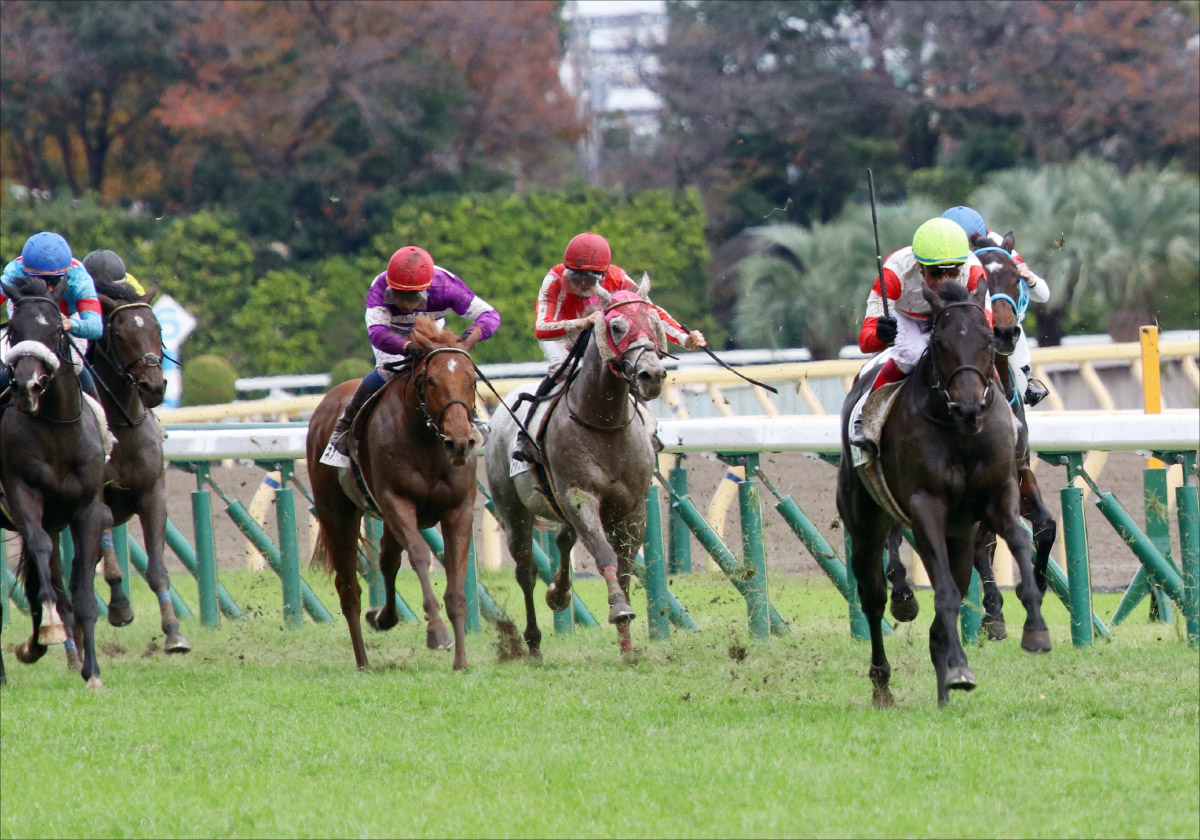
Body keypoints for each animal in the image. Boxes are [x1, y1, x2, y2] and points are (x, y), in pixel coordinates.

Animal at [0, 276, 111, 691]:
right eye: (14, 332)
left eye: (54, 331)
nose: (27, 386)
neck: (57, 434)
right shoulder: (21, 494)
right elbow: (40, 551)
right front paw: (48, 626)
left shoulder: (86, 509)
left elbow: (82, 592)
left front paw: (92, 672)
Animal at [87, 278, 190, 652]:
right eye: (118, 334)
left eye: (158, 328)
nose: (154, 386)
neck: (123, 426)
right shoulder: (94, 497)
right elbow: (108, 558)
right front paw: (119, 607)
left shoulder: (152, 495)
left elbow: (157, 570)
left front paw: (174, 632)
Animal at [304, 314, 482, 667]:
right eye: (431, 381)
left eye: (472, 380)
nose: (459, 442)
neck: (428, 442)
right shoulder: (397, 501)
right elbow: (420, 556)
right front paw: (437, 632)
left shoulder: (459, 510)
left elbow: (455, 582)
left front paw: (461, 660)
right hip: (337, 515)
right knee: (349, 588)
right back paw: (362, 661)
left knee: (387, 561)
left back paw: (384, 618)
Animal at [487, 282, 676, 657]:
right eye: (616, 326)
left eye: (654, 320)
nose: (652, 375)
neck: (605, 422)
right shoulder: (579, 495)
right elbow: (604, 553)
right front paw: (620, 612)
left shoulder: (632, 508)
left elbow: (625, 566)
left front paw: (626, 643)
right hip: (513, 510)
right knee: (526, 571)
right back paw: (533, 642)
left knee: (563, 538)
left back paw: (559, 594)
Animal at [835, 284, 1051, 710]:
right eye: (939, 342)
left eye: (987, 340)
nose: (968, 405)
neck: (961, 433)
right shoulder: (926, 507)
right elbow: (945, 592)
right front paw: (959, 666)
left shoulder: (1001, 492)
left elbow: (1022, 539)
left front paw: (1034, 625)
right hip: (865, 524)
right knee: (874, 598)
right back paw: (885, 682)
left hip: (959, 536)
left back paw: (943, 684)